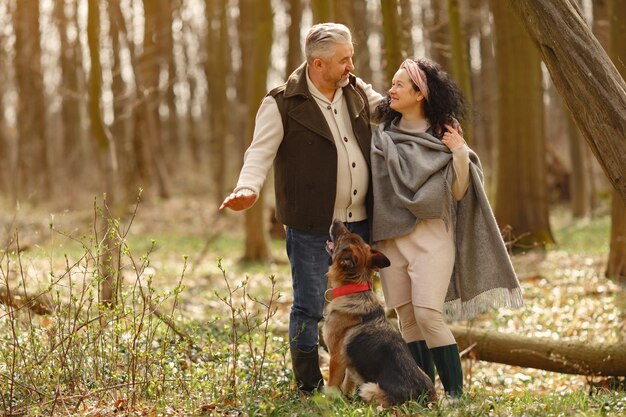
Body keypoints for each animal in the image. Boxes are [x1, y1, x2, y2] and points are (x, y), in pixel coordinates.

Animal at [322, 219, 434, 404]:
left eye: (344, 235)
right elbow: (347, 385)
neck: (355, 289)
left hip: (369, 388)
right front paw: (346, 401)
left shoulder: (336, 359)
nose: (336, 219)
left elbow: (332, 387)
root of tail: (423, 399)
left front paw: (325, 404)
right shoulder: (350, 365)